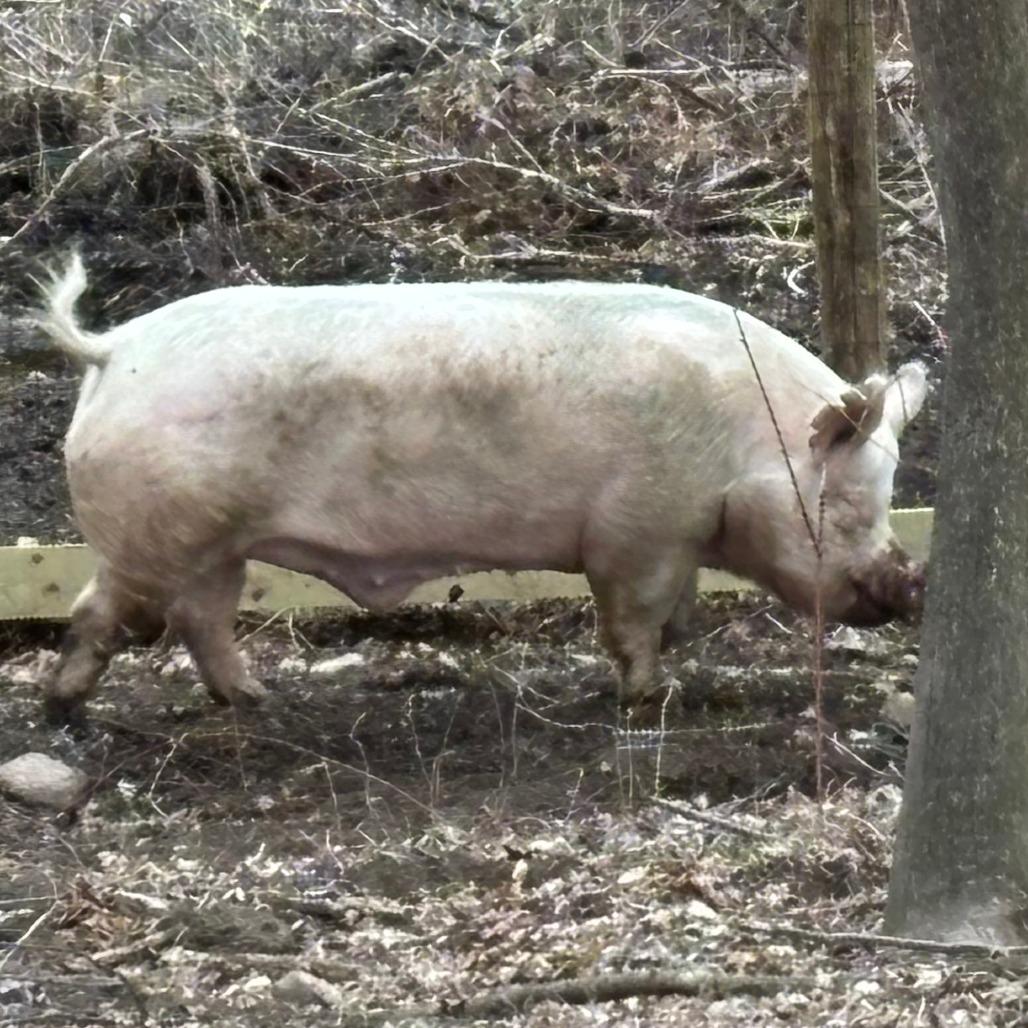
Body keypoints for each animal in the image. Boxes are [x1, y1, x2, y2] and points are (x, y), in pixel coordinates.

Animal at [39, 255, 927, 723]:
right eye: (849, 501)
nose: (910, 583)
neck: (742, 446)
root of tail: (113, 347)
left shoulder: (676, 537)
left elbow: (679, 615)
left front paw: (678, 665)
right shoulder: (634, 532)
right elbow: (633, 620)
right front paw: (649, 696)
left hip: (215, 546)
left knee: (201, 620)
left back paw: (255, 698)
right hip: (159, 534)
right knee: (103, 613)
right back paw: (65, 708)